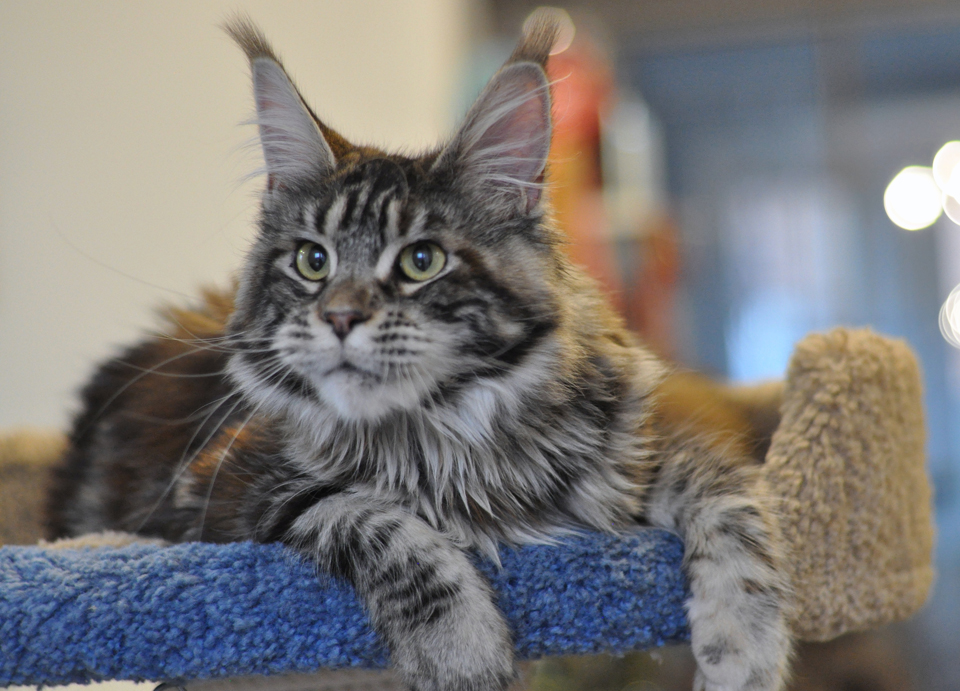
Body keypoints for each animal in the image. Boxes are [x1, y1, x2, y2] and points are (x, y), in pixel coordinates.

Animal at [47, 12, 796, 691]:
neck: (451, 432)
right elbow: (378, 520)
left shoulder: (638, 453)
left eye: (421, 261)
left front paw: (745, 655)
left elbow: (731, 505)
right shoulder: (221, 489)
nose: (340, 315)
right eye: (312, 261)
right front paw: (463, 654)